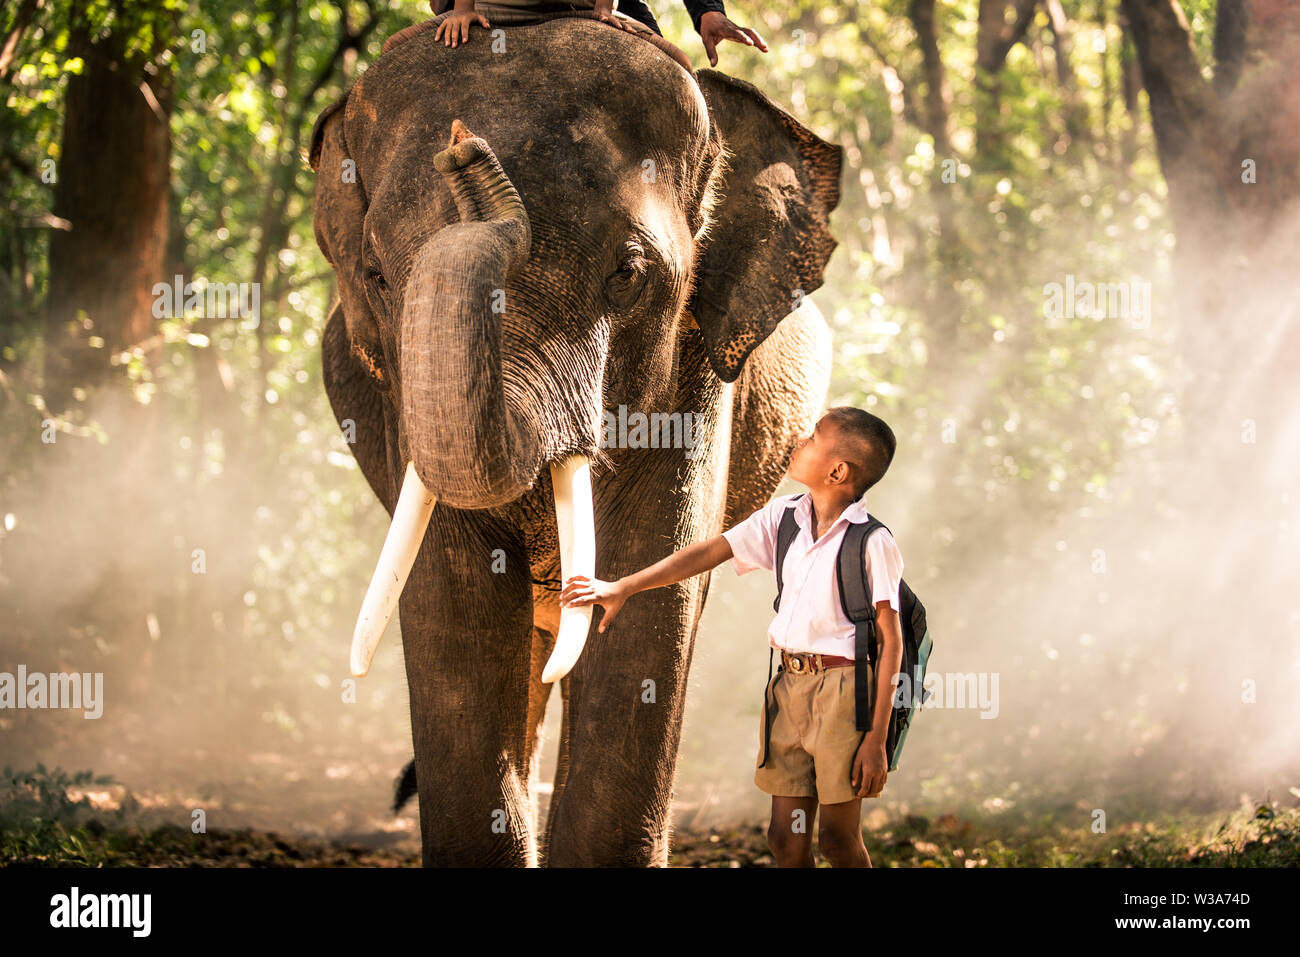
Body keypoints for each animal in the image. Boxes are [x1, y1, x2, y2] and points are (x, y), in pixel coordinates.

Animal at [311, 9, 841, 866]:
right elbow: (449, 602)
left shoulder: (696, 372)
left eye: (628, 274)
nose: (464, 149)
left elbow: (654, 590)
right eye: (379, 278)